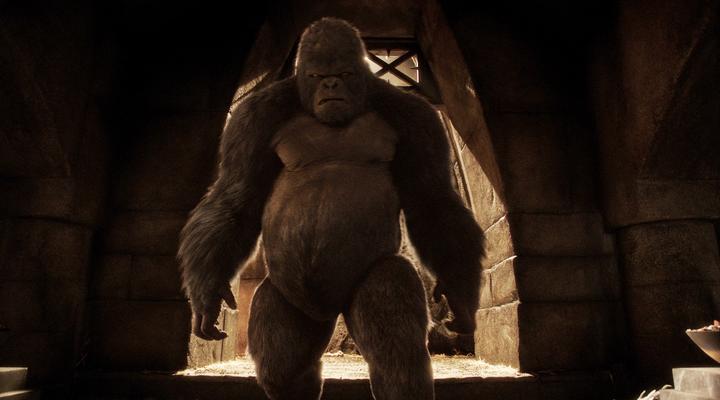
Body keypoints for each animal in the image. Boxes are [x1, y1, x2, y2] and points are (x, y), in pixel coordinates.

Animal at [178, 18, 484, 400]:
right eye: (317, 75)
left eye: (343, 72)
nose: (331, 84)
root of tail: (328, 308)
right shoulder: (253, 117)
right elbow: (236, 196)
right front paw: (207, 295)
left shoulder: (418, 119)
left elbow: (433, 201)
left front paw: (459, 292)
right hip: (291, 298)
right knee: (285, 364)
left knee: (396, 348)